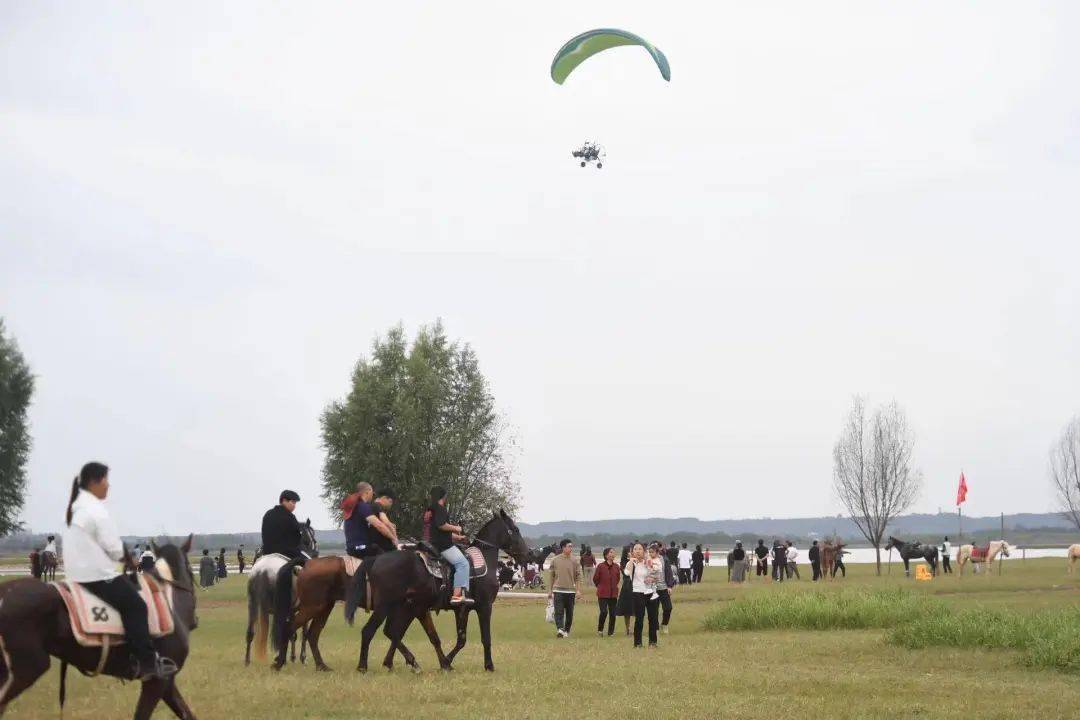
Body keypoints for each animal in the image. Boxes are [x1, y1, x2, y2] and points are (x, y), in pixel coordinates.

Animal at [241, 518, 315, 664]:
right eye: (310, 540)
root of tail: (263, 571)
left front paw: (293, 657)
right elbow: (302, 632)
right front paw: (301, 657)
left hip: (252, 605)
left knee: (250, 633)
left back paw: (247, 660)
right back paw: (281, 659)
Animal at [354, 507, 535, 677]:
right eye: (515, 529)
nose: (529, 554)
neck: (483, 561)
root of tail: (376, 559)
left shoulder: (462, 609)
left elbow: (461, 639)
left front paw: (447, 661)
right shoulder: (485, 607)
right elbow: (485, 638)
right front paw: (489, 666)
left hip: (405, 608)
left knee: (392, 632)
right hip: (389, 607)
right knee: (372, 631)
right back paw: (364, 666)